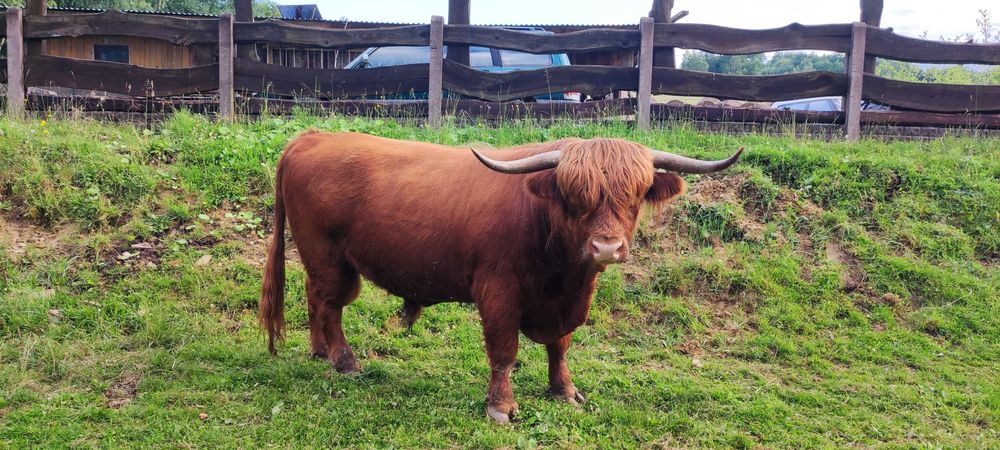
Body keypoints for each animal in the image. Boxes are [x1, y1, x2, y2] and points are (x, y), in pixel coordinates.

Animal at [260, 130, 744, 422]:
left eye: (637, 194)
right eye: (573, 195)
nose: (606, 248)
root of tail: (312, 136)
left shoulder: (564, 304)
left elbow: (559, 347)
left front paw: (564, 390)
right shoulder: (497, 293)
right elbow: (504, 352)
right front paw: (501, 406)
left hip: (322, 259)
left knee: (315, 296)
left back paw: (320, 352)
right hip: (329, 256)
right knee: (331, 304)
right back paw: (344, 361)